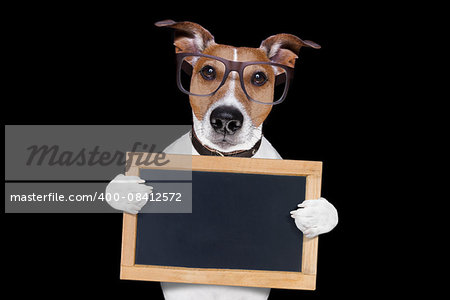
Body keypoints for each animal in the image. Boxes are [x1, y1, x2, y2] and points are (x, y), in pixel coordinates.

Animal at [106, 19, 338, 298]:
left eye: (259, 77)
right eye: (208, 71)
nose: (226, 119)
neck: (223, 158)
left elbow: (331, 213)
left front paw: (317, 213)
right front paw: (129, 192)